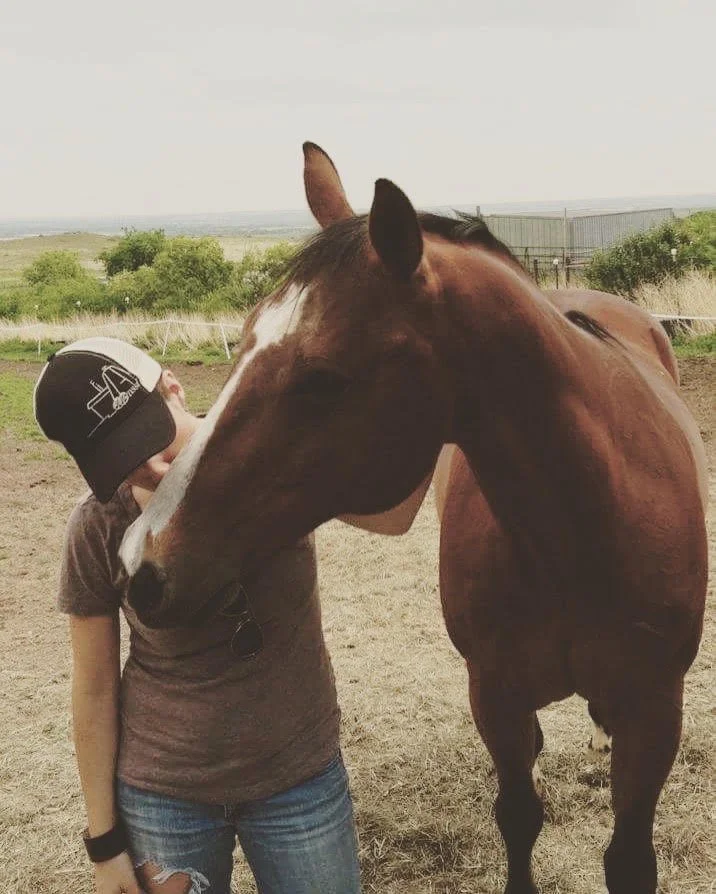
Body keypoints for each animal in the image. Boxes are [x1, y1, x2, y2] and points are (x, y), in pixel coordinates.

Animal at [120, 143, 708, 894]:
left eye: (322, 379)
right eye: (245, 340)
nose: (147, 562)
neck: (588, 527)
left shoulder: (655, 709)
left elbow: (629, 857)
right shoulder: (495, 693)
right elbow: (520, 815)